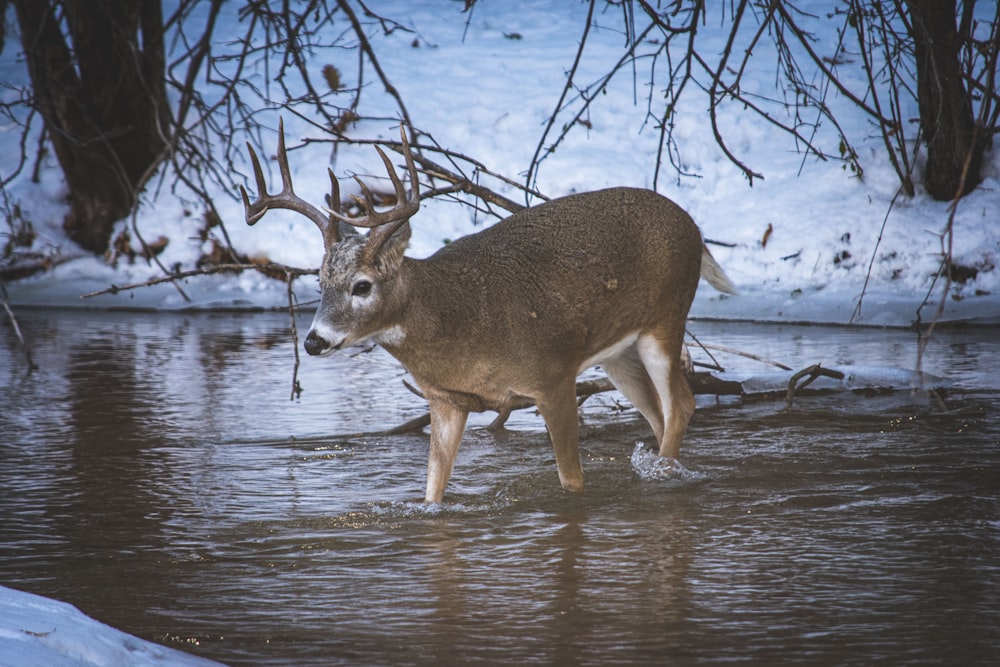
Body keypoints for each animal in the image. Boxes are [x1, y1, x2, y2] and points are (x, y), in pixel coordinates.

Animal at [241, 122, 736, 504]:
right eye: (320, 284)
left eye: (361, 285)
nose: (314, 341)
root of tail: (694, 227)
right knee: (658, 413)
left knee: (682, 404)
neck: (461, 320)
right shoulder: (447, 400)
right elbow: (432, 494)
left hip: (666, 317)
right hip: (618, 353)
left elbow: (572, 485)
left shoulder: (552, 376)